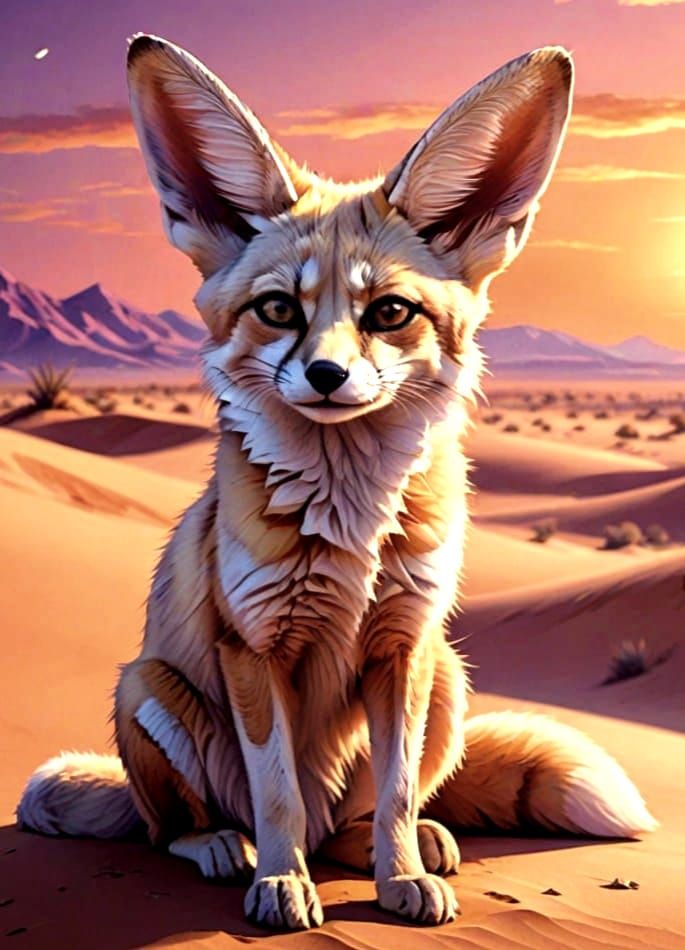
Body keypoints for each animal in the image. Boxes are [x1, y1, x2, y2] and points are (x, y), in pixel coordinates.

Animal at [17, 34, 657, 932]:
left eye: (389, 312)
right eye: (278, 310)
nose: (324, 376)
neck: (347, 523)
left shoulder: (403, 643)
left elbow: (393, 793)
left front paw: (398, 880)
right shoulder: (251, 648)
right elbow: (277, 791)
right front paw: (282, 886)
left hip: (449, 675)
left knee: (362, 817)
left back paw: (407, 849)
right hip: (146, 687)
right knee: (175, 826)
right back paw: (227, 849)